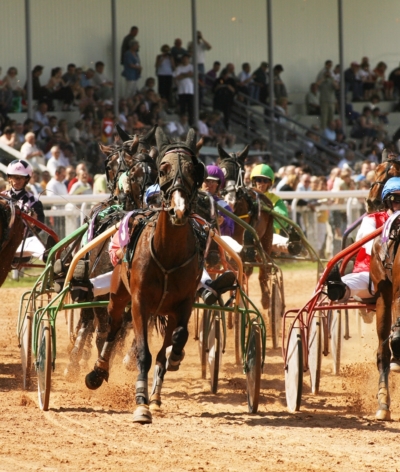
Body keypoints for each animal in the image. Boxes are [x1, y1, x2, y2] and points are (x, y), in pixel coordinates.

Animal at [83, 127, 203, 422]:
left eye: (195, 170)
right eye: (163, 169)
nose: (179, 209)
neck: (168, 252)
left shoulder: (184, 304)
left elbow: (176, 339)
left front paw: (173, 360)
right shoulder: (139, 302)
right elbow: (142, 353)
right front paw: (141, 403)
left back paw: (158, 394)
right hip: (117, 296)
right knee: (111, 328)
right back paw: (98, 371)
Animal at [216, 144, 276, 310]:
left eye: (241, 172)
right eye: (222, 170)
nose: (230, 199)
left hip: (266, 237)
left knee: (262, 268)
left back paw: (266, 300)